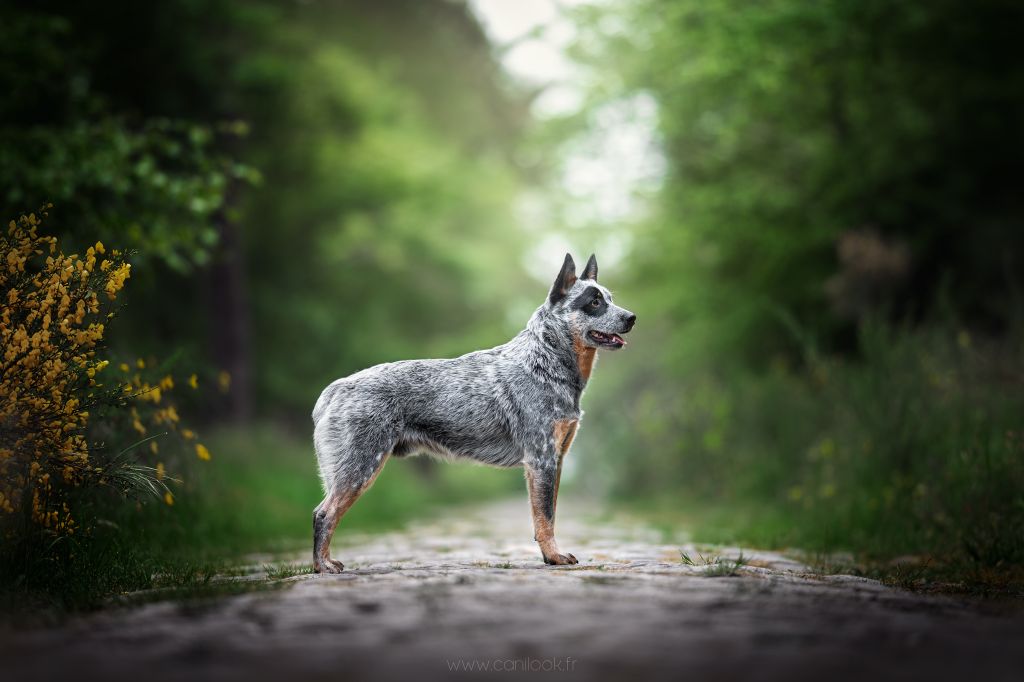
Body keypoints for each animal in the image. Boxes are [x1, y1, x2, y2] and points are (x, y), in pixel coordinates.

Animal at [307, 251, 634, 569]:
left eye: (610, 298)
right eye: (594, 302)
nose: (631, 317)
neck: (545, 362)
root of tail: (335, 389)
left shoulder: (557, 458)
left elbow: (548, 513)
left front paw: (549, 555)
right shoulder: (541, 459)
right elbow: (545, 517)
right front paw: (554, 557)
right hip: (360, 467)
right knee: (323, 513)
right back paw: (323, 566)